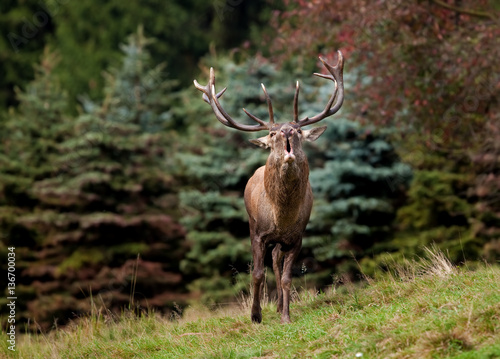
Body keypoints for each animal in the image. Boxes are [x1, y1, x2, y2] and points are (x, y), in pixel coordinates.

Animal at [194, 51, 344, 326]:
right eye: (273, 133)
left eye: (297, 130)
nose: (286, 131)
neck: (281, 218)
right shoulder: (258, 233)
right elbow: (256, 273)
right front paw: (255, 315)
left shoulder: (297, 237)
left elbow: (286, 277)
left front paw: (286, 316)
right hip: (253, 225)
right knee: (267, 264)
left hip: (280, 242)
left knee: (276, 261)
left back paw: (279, 306)